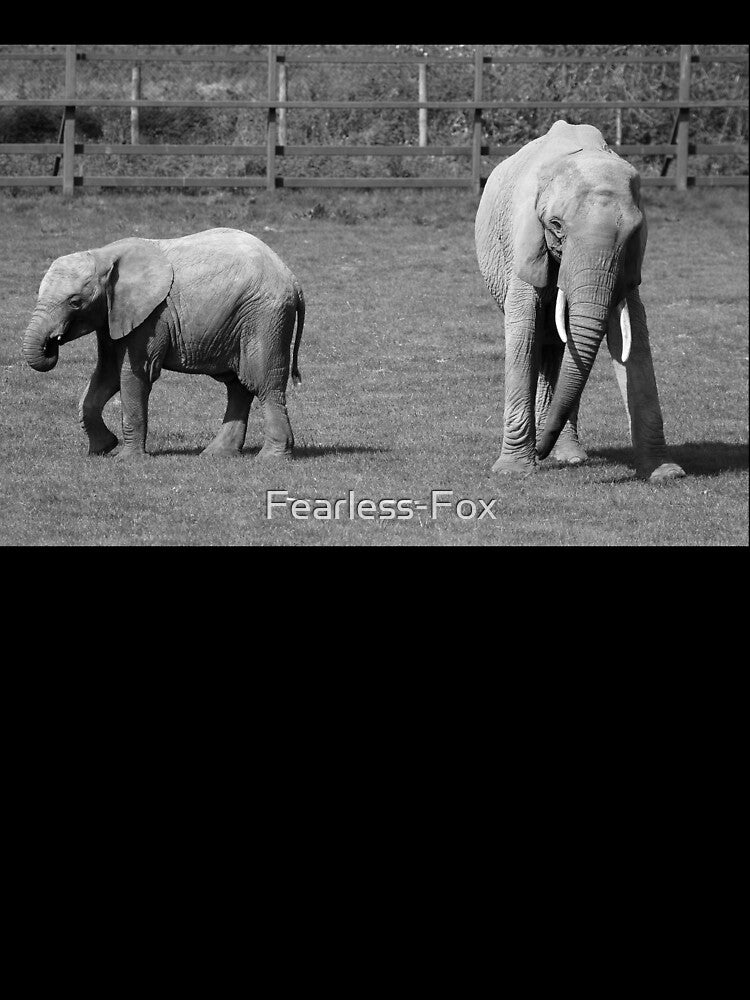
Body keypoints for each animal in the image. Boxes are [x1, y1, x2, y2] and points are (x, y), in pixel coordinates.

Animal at [22, 227, 304, 461]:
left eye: (75, 302)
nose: (53, 342)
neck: (104, 255)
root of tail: (292, 277)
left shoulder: (152, 315)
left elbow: (134, 375)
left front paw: (126, 460)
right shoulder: (112, 315)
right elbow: (106, 374)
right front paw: (101, 449)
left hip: (264, 316)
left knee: (263, 383)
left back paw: (270, 458)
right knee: (238, 386)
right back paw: (216, 454)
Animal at [475, 120, 685, 480]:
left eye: (635, 232)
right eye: (556, 226)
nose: (540, 454)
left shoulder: (628, 264)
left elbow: (633, 330)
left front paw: (666, 473)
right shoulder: (522, 243)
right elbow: (523, 326)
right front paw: (513, 471)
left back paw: (571, 456)